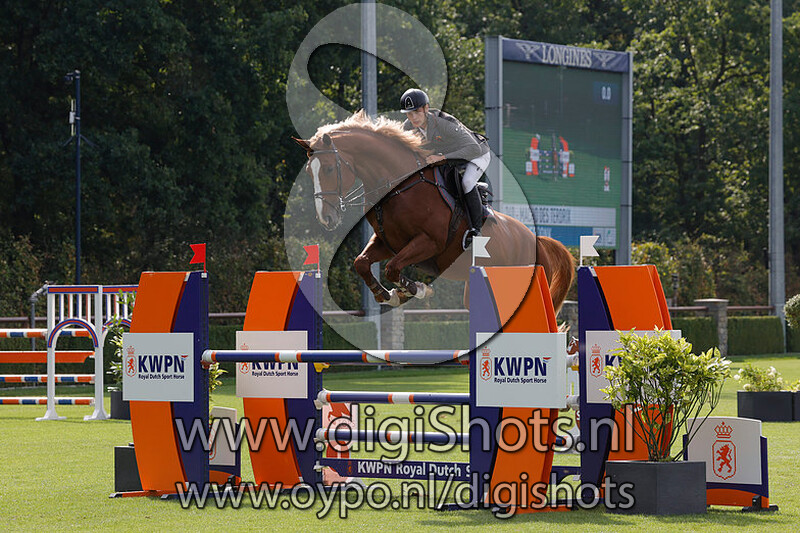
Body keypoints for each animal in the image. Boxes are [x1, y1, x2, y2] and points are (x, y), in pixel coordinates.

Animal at [294, 110, 575, 314]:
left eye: (329, 169)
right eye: (309, 171)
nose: (326, 217)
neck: (399, 186)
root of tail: (537, 240)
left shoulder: (429, 242)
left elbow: (392, 268)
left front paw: (415, 290)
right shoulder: (388, 242)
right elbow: (362, 263)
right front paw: (387, 295)